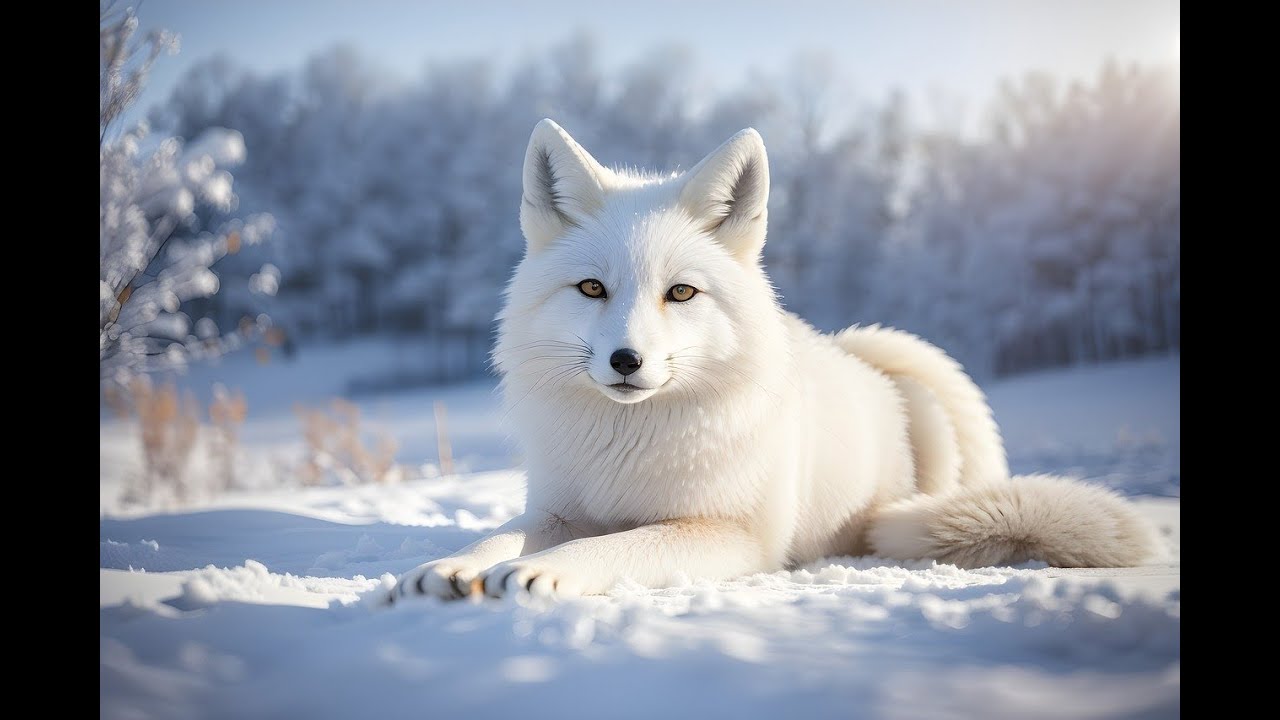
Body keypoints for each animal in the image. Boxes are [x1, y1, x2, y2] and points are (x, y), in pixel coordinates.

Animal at [388, 119, 1156, 602]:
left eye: (681, 292)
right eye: (592, 289)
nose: (626, 360)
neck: (630, 445)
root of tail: (854, 355)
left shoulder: (733, 534)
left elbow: (611, 549)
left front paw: (545, 574)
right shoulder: (560, 507)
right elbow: (500, 536)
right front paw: (447, 566)